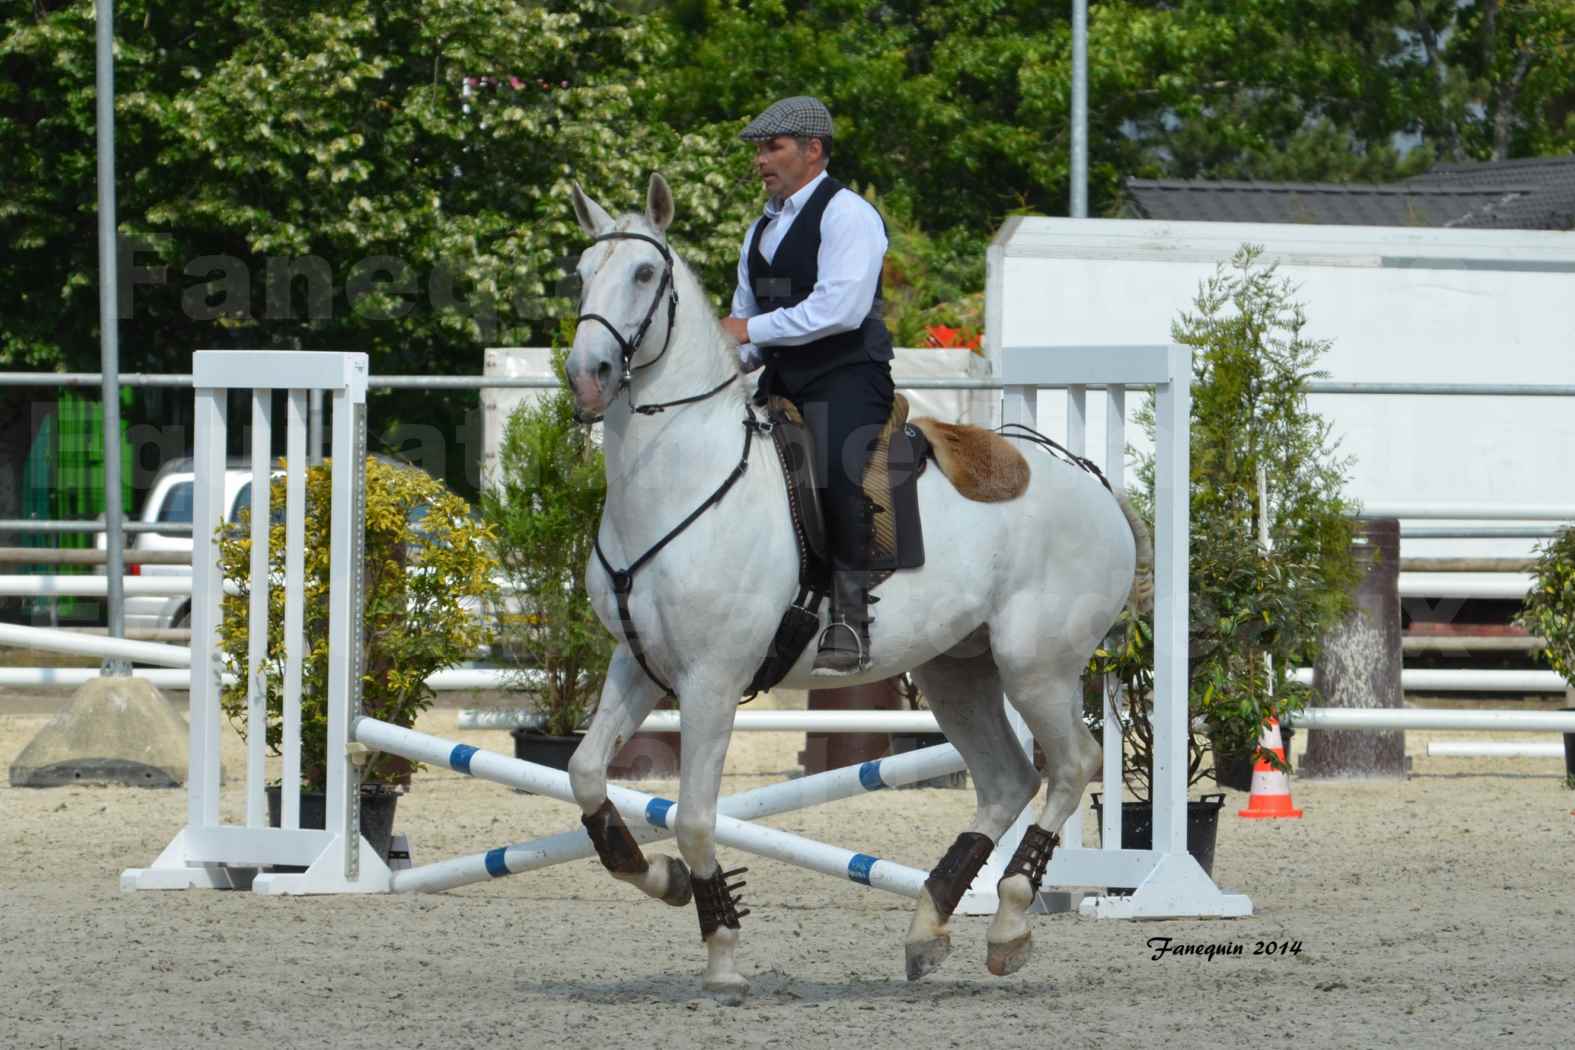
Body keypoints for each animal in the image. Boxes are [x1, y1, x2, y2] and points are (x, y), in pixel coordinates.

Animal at [560, 172, 1152, 1001]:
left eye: (645, 274)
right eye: (582, 275)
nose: (587, 376)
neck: (679, 478)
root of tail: (1090, 482)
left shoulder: (712, 679)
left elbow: (695, 816)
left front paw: (722, 954)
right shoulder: (639, 665)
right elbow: (586, 775)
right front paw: (663, 877)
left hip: (1034, 664)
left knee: (1070, 765)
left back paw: (1007, 925)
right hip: (956, 670)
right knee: (1005, 779)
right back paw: (929, 929)